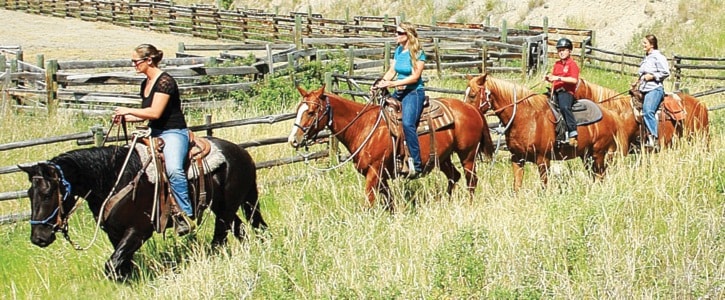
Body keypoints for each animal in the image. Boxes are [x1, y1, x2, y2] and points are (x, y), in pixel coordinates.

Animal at [18, 137, 268, 282]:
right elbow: (121, 265)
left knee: (220, 238)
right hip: (226, 207)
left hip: (227, 209)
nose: (38, 238)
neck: (114, 178)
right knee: (245, 231)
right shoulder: (115, 234)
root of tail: (241, 152)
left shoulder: (138, 231)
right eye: (30, 194)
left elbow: (112, 265)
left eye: (47, 194)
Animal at [286, 84, 490, 206]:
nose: (293, 139)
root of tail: (472, 109)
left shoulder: (374, 172)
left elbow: (369, 200)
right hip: (443, 158)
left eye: (311, 112)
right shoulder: (381, 176)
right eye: (298, 110)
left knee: (471, 180)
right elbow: (389, 200)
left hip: (468, 155)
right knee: (454, 176)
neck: (364, 126)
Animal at [464, 74, 628, 191]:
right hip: (586, 156)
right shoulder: (517, 159)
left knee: (600, 176)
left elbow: (544, 186)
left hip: (598, 154)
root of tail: (610, 115)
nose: (466, 112)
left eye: (472, 95)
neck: (527, 118)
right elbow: (516, 186)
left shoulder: (543, 160)